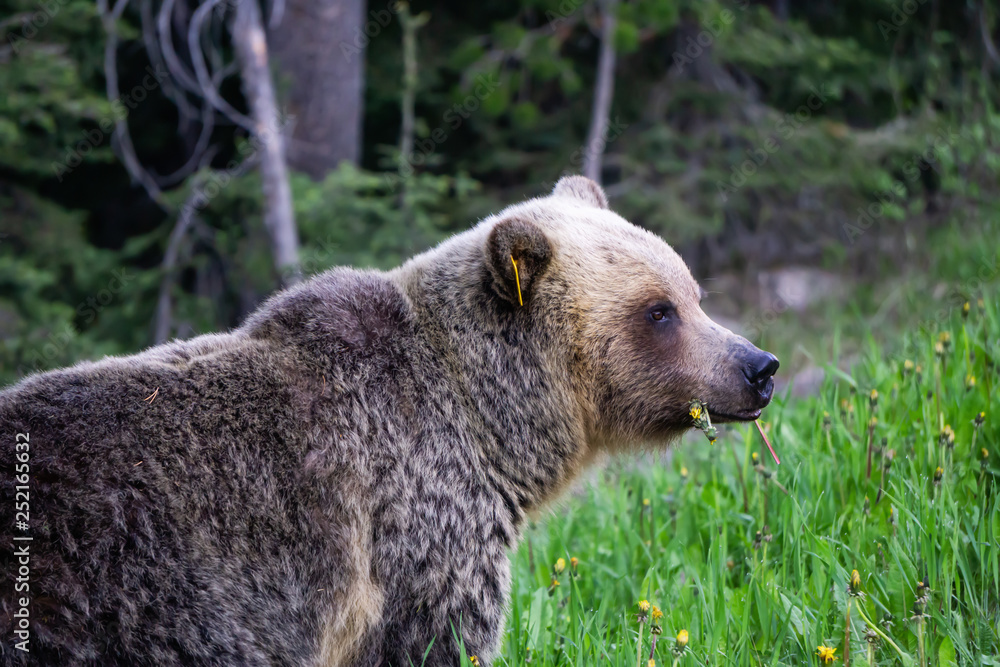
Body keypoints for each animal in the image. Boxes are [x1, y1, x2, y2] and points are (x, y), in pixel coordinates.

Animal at [0, 176, 778, 666]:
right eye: (658, 311)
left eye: (692, 291)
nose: (758, 366)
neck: (488, 426)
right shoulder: (417, 536)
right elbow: (434, 641)